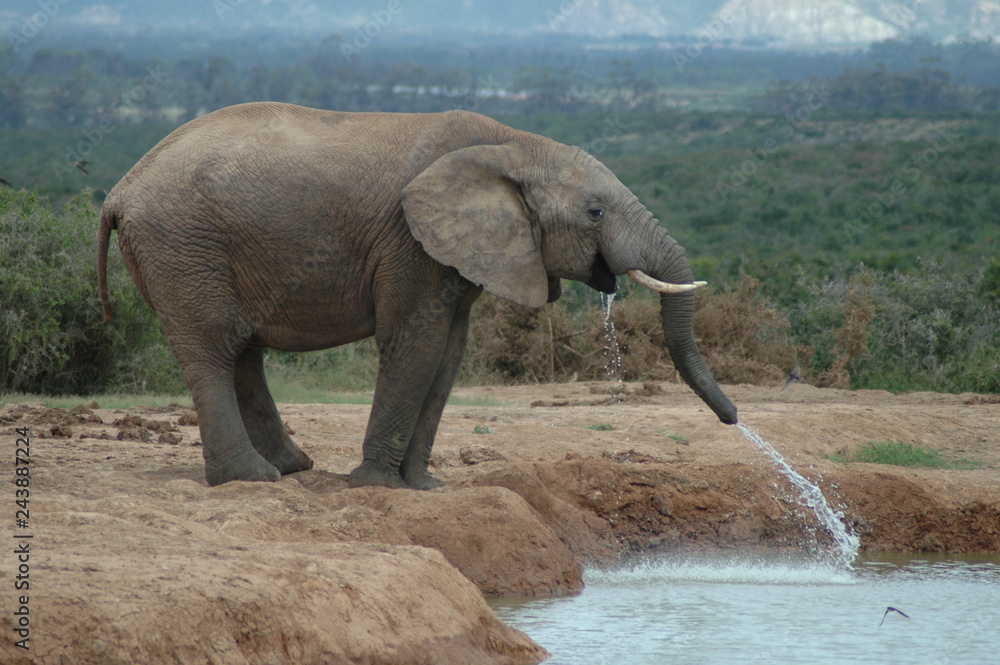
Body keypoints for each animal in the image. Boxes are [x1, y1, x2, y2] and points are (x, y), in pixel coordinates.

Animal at [97, 102, 737, 489]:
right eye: (596, 212)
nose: (734, 420)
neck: (511, 145)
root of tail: (119, 191)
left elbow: (448, 354)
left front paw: (424, 486)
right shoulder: (409, 242)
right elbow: (416, 344)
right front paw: (376, 486)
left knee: (243, 351)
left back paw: (293, 467)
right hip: (183, 245)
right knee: (215, 346)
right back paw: (252, 479)